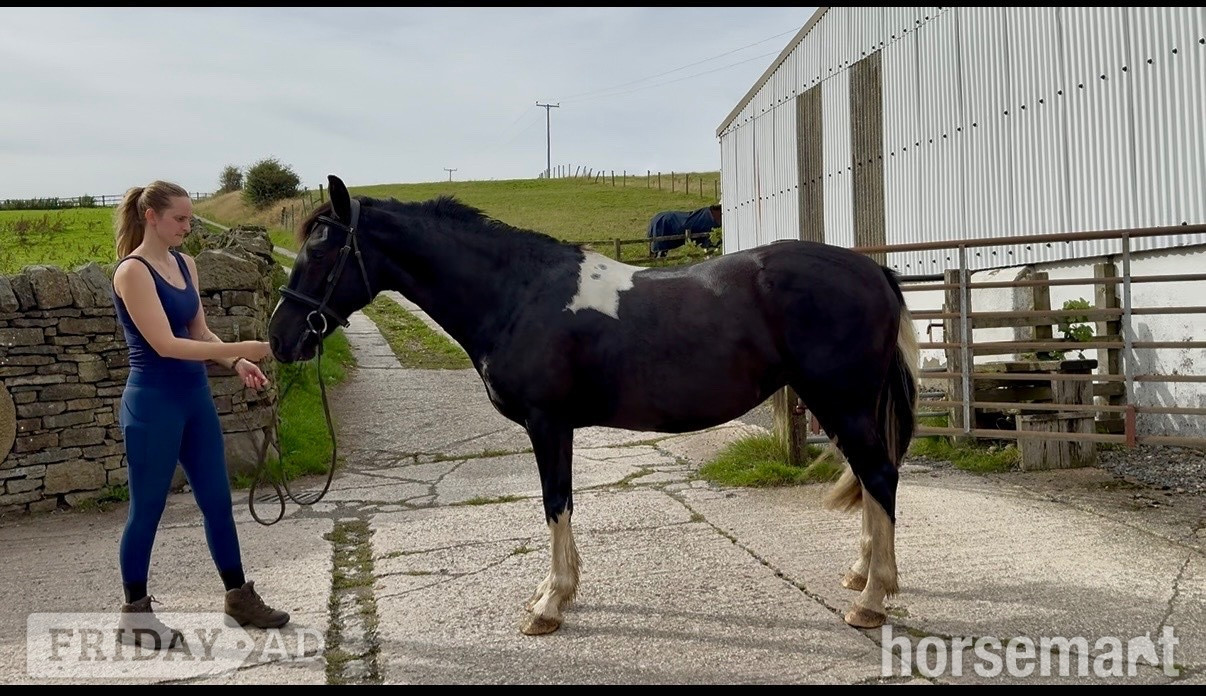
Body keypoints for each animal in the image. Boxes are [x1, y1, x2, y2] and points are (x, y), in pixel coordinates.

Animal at [268, 174, 919, 636]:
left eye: (322, 253)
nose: (280, 338)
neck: (517, 295)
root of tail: (874, 271)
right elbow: (559, 506)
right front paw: (556, 592)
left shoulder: (548, 424)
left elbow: (556, 503)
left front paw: (550, 604)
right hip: (838, 405)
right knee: (869, 476)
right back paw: (861, 575)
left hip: (842, 402)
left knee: (879, 475)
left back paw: (872, 599)